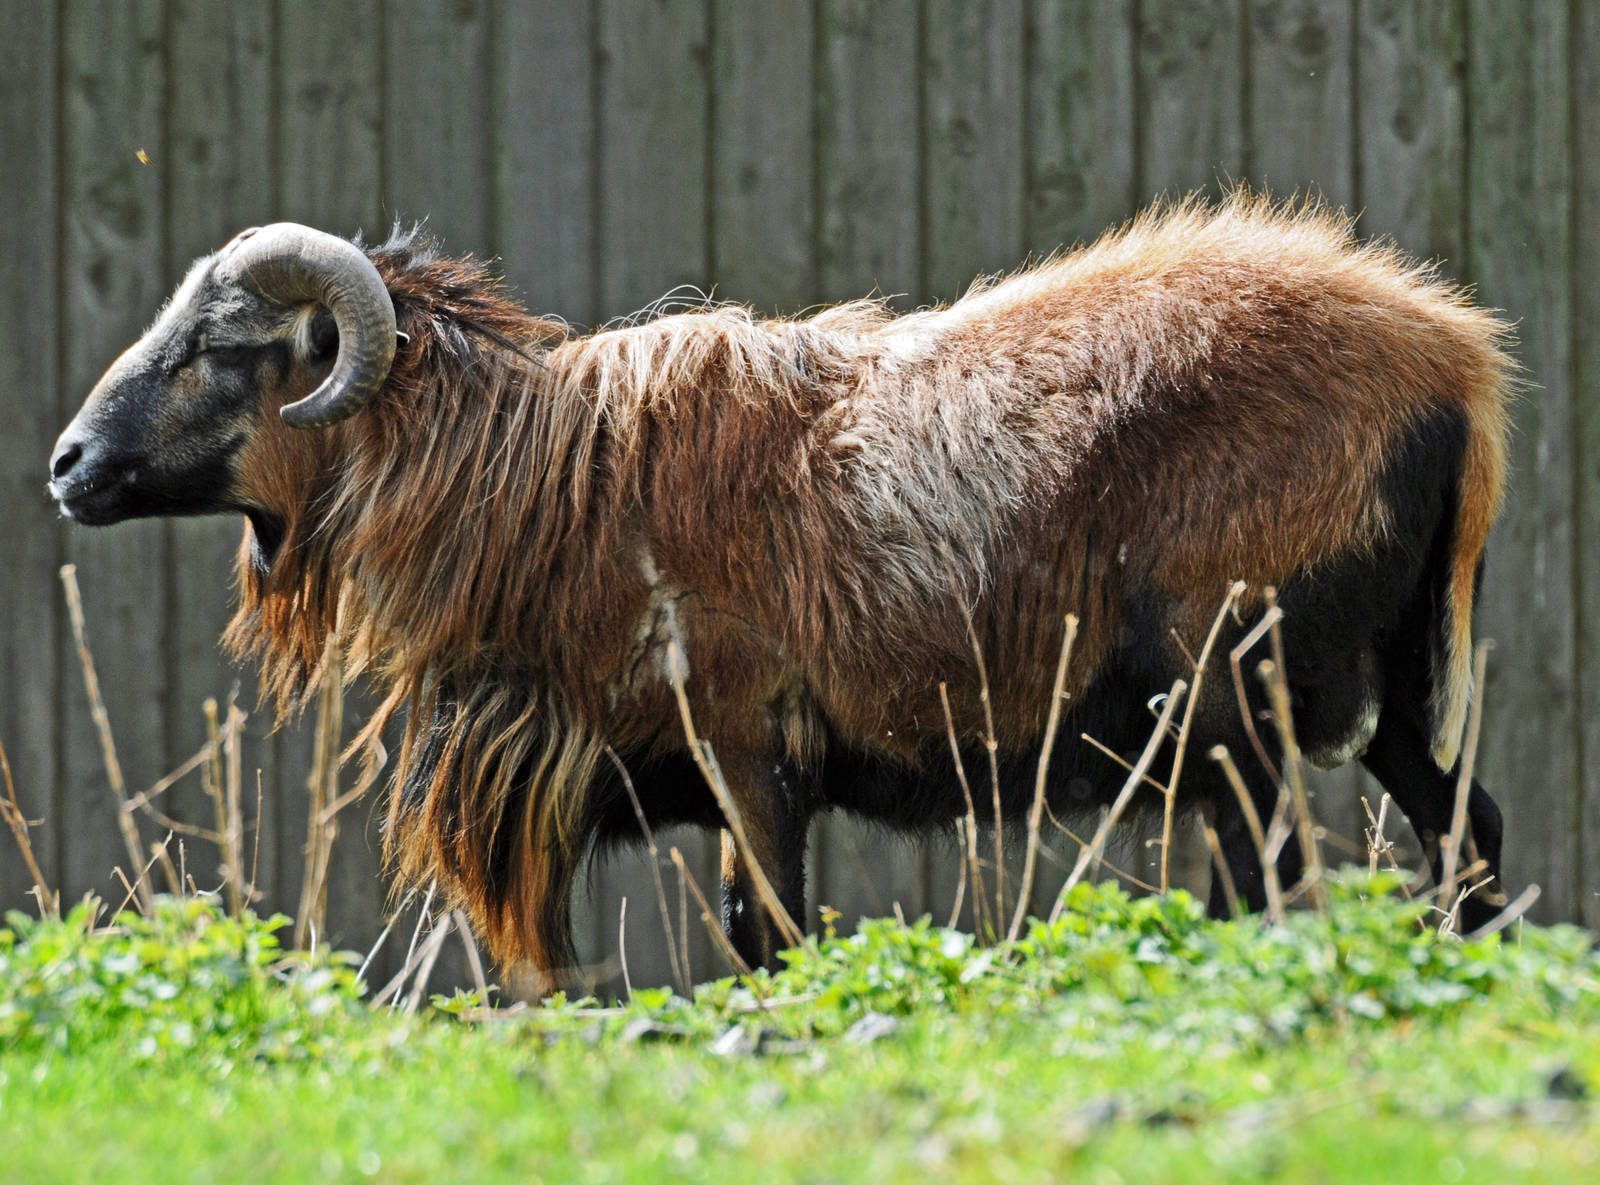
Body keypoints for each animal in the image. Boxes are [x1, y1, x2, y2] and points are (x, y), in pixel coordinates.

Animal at [49, 195, 1515, 988]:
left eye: (226, 346)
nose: (66, 465)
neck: (544, 481)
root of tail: (1455, 364)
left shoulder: (752, 756)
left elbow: (771, 942)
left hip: (1234, 694)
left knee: (1279, 886)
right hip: (1381, 693)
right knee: (1465, 830)